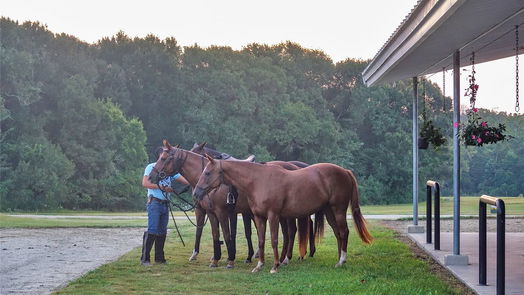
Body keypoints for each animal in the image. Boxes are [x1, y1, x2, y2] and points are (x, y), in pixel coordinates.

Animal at [193, 156, 372, 274]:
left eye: (207, 173)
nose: (196, 193)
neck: (259, 181)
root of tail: (345, 171)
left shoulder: (273, 216)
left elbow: (274, 240)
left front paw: (275, 266)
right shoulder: (259, 217)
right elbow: (261, 240)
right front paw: (259, 265)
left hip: (339, 210)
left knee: (344, 232)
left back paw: (341, 260)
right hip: (329, 211)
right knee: (337, 233)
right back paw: (339, 259)